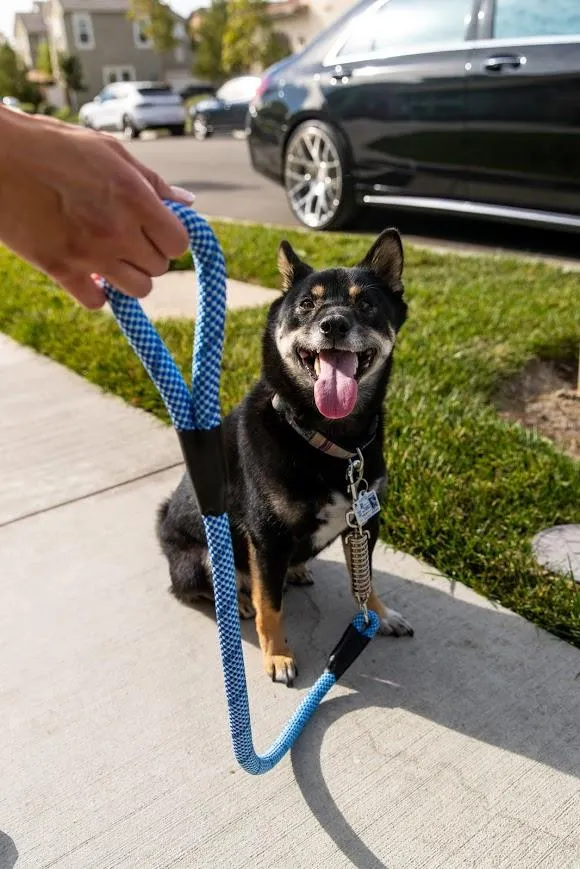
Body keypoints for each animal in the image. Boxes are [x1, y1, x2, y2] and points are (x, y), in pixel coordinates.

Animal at [156, 229, 414, 684]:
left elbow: (364, 582)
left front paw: (380, 616)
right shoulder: (267, 537)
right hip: (201, 557)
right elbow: (270, 606)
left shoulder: (366, 522)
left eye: (366, 303)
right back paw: (238, 602)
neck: (326, 439)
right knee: (206, 590)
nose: (334, 323)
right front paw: (277, 656)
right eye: (306, 305)